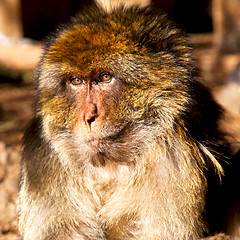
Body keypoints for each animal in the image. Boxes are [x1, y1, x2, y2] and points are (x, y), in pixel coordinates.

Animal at [17, 4, 239, 240]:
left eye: (105, 78)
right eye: (76, 81)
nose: (88, 117)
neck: (109, 164)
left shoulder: (173, 156)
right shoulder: (43, 161)